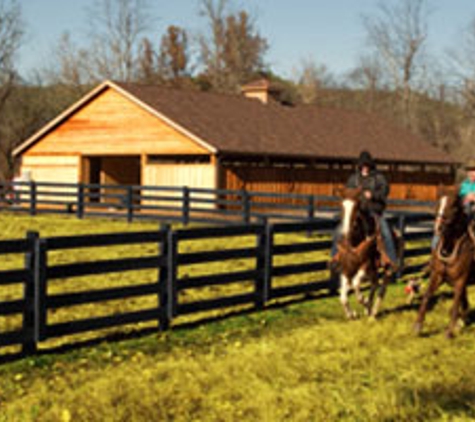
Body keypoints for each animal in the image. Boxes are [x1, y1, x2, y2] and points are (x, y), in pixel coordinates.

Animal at [334, 186, 402, 318]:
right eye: (342, 206)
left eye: (356, 207)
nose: (346, 232)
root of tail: (397, 233)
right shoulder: (347, 269)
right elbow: (343, 296)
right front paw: (352, 314)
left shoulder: (365, 267)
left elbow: (355, 284)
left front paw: (364, 301)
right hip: (373, 270)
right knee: (374, 283)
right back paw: (368, 309)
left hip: (388, 268)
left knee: (382, 289)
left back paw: (373, 311)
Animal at [414, 186, 474, 338]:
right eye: (438, 204)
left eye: (453, 207)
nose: (439, 228)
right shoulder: (437, 276)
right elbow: (427, 295)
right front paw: (418, 325)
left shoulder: (460, 281)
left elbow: (455, 303)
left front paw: (449, 331)